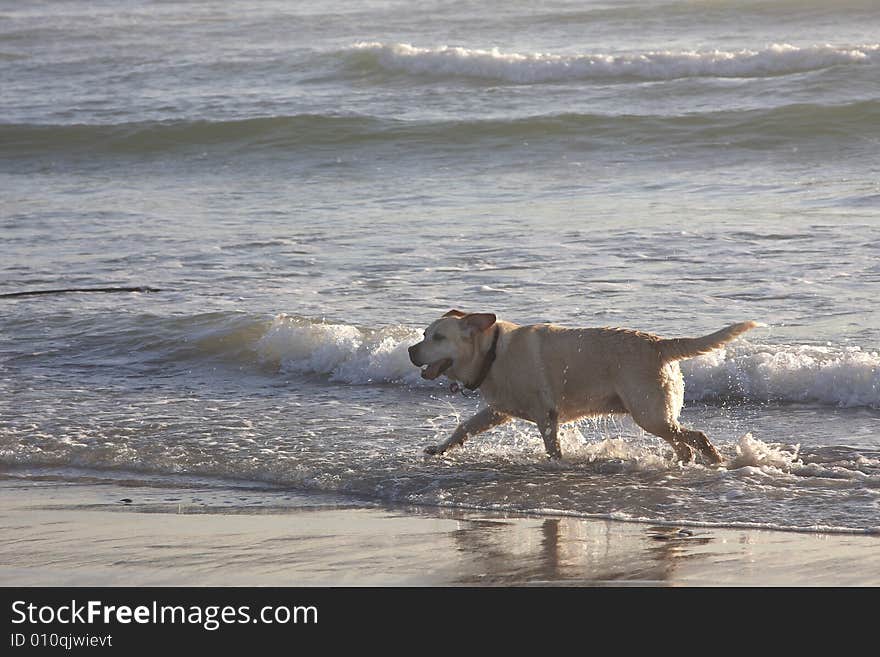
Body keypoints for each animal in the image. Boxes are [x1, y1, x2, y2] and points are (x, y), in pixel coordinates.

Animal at [410, 312, 760, 462]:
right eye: (424, 334)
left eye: (438, 337)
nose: (411, 350)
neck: (492, 353)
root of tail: (659, 343)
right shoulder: (498, 411)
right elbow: (464, 426)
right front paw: (440, 448)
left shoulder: (545, 416)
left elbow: (553, 448)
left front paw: (558, 465)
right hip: (655, 414)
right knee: (682, 443)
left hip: (649, 413)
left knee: (696, 437)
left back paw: (714, 461)